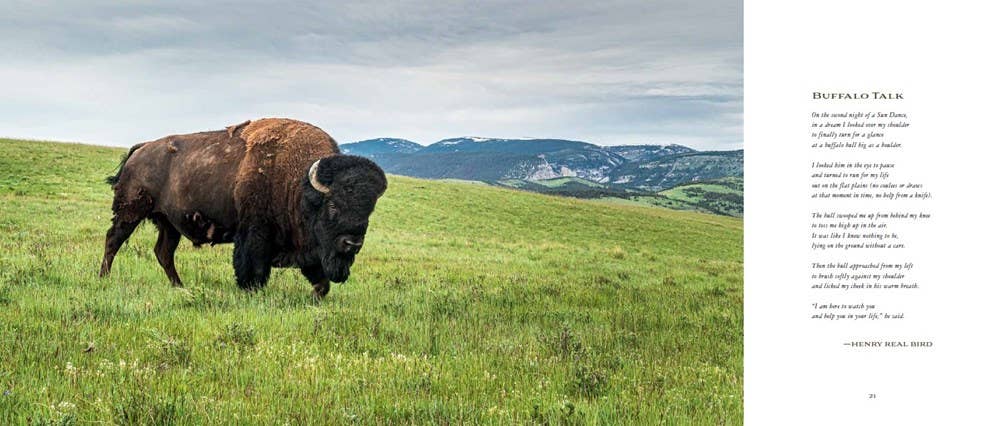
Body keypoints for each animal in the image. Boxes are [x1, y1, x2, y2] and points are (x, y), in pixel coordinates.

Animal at [99, 118, 387, 297]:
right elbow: (254, 269)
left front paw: (317, 295)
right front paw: (250, 291)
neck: (298, 184)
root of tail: (141, 148)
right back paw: (104, 278)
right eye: (334, 206)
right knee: (113, 241)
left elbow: (320, 281)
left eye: (369, 211)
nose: (353, 243)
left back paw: (179, 287)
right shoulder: (255, 234)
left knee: (163, 253)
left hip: (169, 223)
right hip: (130, 211)